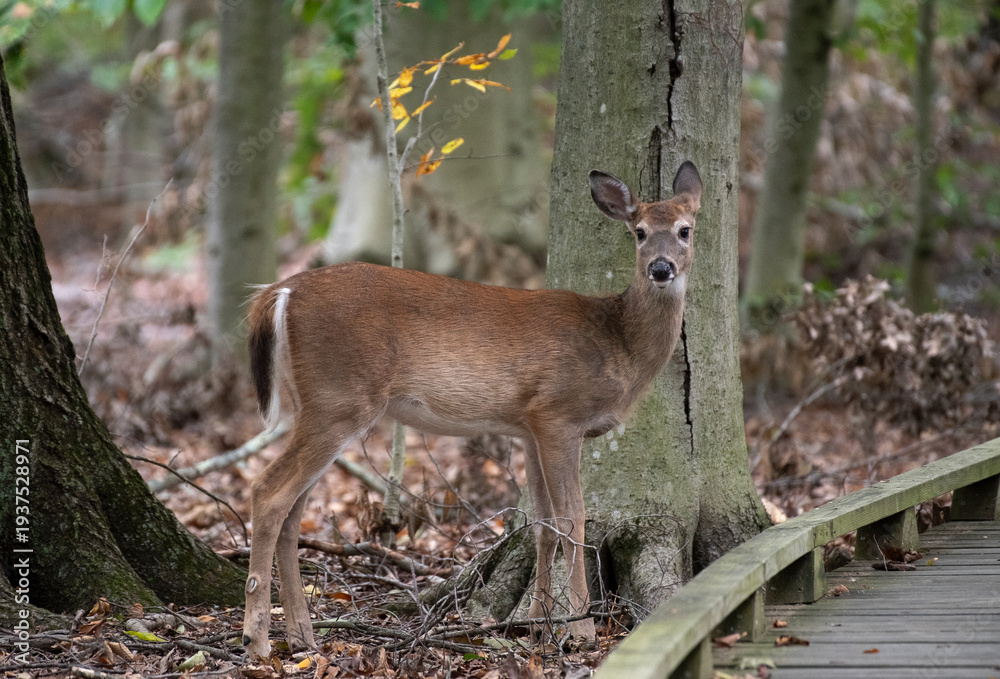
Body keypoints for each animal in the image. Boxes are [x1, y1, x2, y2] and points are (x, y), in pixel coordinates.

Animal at [240, 161, 702, 659]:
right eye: (639, 232)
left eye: (685, 230)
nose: (661, 268)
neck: (618, 343)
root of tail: (280, 291)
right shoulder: (558, 413)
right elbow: (571, 517)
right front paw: (580, 628)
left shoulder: (528, 427)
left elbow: (540, 525)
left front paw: (537, 627)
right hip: (340, 398)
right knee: (268, 492)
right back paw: (257, 640)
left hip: (320, 405)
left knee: (292, 511)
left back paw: (302, 637)